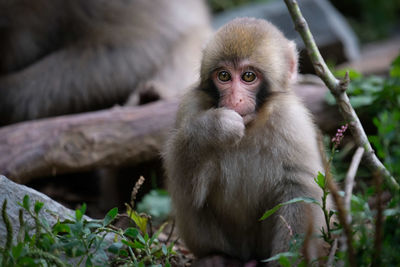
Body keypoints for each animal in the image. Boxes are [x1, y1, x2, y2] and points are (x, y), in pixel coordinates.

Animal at [164, 18, 330, 266]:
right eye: (224, 76)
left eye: (248, 76)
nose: (234, 99)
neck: (251, 127)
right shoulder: (189, 107)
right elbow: (187, 190)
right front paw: (215, 128)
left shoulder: (293, 122)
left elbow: (298, 190)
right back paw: (217, 257)